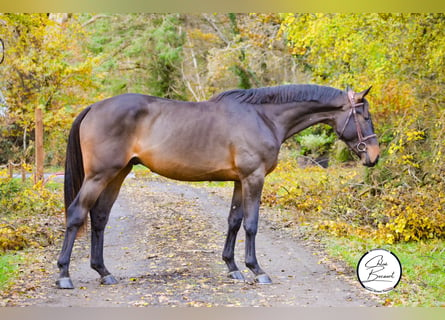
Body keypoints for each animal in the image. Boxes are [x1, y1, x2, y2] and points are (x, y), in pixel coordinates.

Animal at [57, 84, 380, 288]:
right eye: (364, 115)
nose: (374, 155)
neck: (263, 117)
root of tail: (94, 107)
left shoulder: (239, 180)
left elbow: (234, 221)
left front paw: (232, 268)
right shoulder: (253, 178)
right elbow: (251, 224)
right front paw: (256, 270)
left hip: (118, 174)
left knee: (99, 217)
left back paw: (104, 272)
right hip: (99, 175)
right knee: (76, 214)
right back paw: (64, 275)